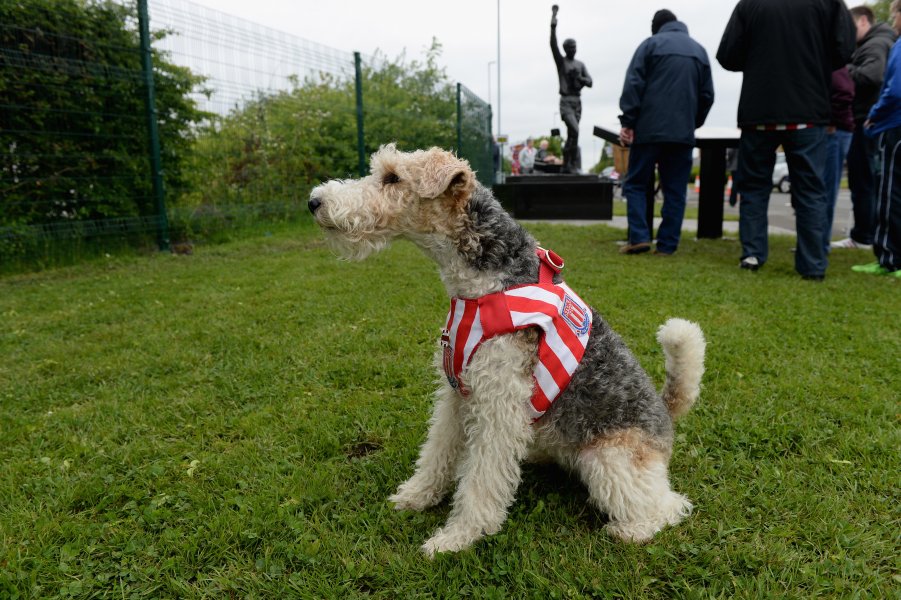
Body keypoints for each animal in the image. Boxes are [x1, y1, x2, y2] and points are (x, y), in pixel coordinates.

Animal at [310, 145, 704, 556]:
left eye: (392, 177)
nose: (314, 201)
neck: (487, 286)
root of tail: (664, 413)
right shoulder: (456, 393)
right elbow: (438, 450)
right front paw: (417, 496)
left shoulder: (499, 403)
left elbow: (480, 480)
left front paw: (457, 537)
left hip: (610, 459)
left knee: (670, 505)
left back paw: (631, 530)